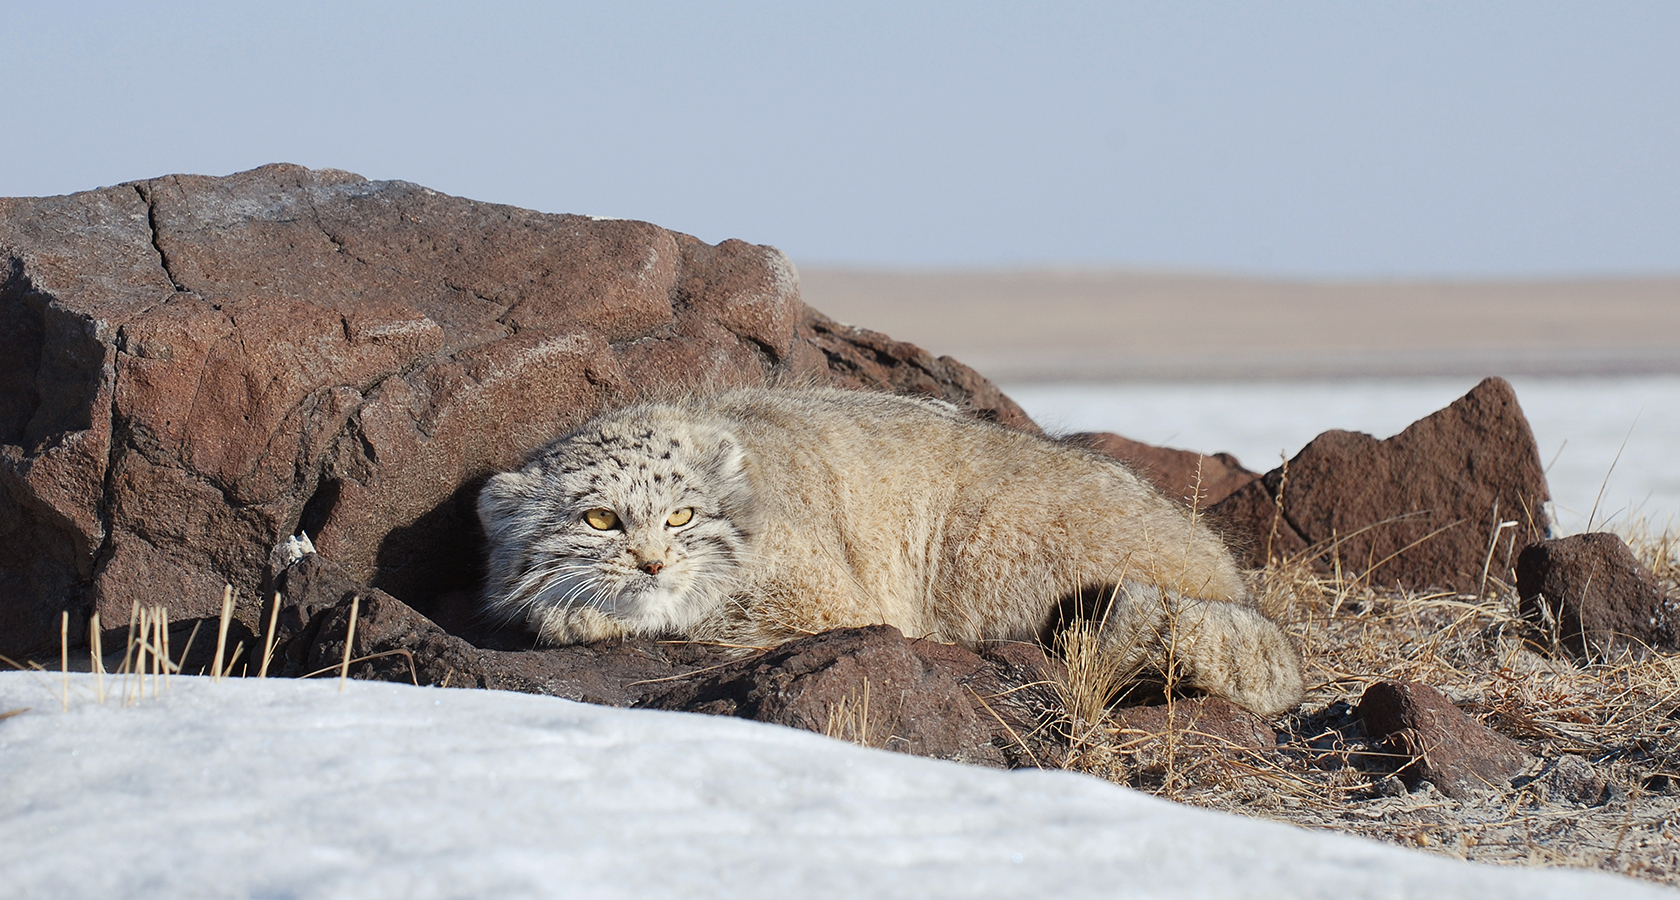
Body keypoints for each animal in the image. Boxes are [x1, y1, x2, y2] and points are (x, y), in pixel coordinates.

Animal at [480, 386, 1303, 718]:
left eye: (681, 515)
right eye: (599, 519)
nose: (652, 564)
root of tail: (1233, 583)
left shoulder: (826, 603)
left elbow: (703, 614)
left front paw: (576, 619)